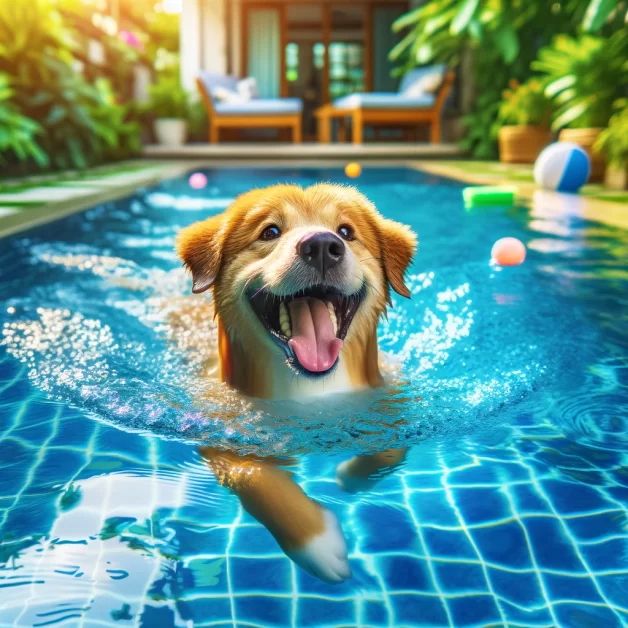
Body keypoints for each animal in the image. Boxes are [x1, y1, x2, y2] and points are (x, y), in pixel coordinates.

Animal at [175, 182, 418, 584]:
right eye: (270, 232)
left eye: (346, 231)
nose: (321, 245)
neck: (312, 389)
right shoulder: (216, 428)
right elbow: (256, 476)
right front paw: (316, 541)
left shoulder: (390, 398)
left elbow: (393, 445)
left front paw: (348, 477)